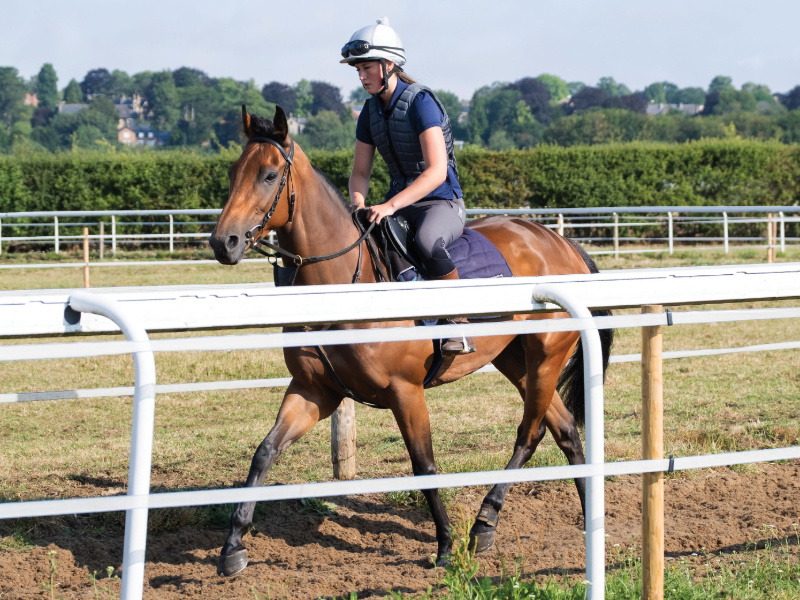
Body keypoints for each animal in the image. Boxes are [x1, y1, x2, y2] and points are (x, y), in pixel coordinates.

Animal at [208, 105, 613, 577]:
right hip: (516, 361)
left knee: (530, 434)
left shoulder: (406, 391)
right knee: (564, 430)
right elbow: (264, 452)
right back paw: (577, 514)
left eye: (270, 175)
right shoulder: (314, 391)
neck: (345, 283)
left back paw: (485, 521)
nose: (223, 242)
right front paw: (233, 545)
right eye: (233, 172)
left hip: (546, 355)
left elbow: (424, 465)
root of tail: (562, 242)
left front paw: (445, 546)